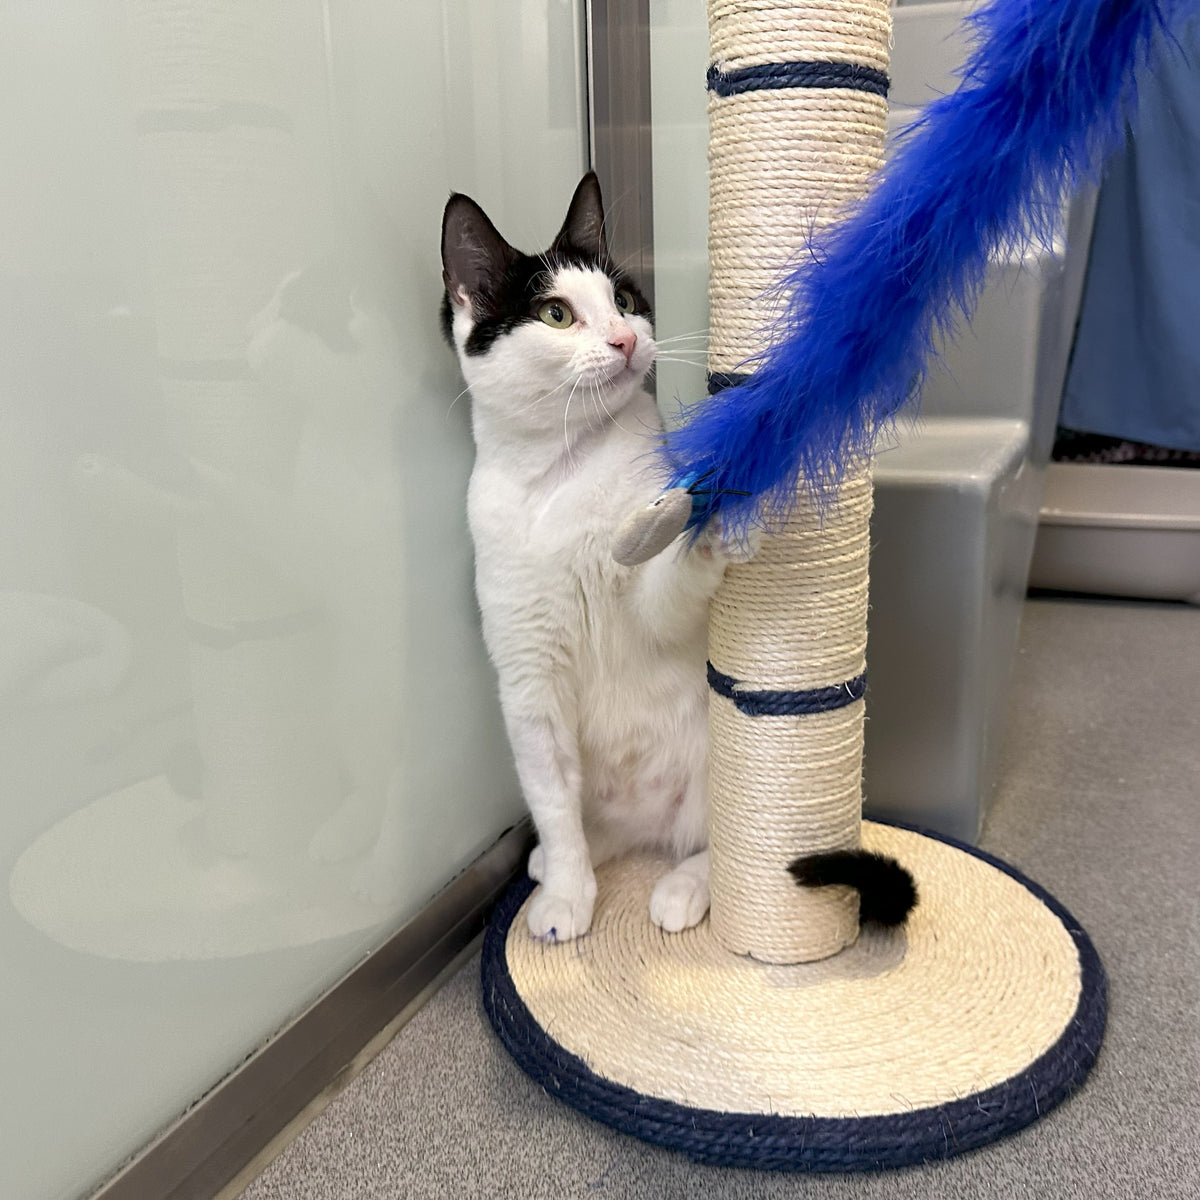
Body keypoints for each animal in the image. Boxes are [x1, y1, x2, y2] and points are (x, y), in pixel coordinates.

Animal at [444, 174, 916, 940]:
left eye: (623, 298)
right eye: (555, 313)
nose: (626, 337)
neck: (564, 470)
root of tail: (648, 827)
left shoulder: (653, 609)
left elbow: (665, 592)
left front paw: (716, 515)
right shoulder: (528, 679)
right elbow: (551, 798)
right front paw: (568, 895)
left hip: (714, 761)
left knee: (715, 842)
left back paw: (686, 888)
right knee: (589, 821)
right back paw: (557, 861)